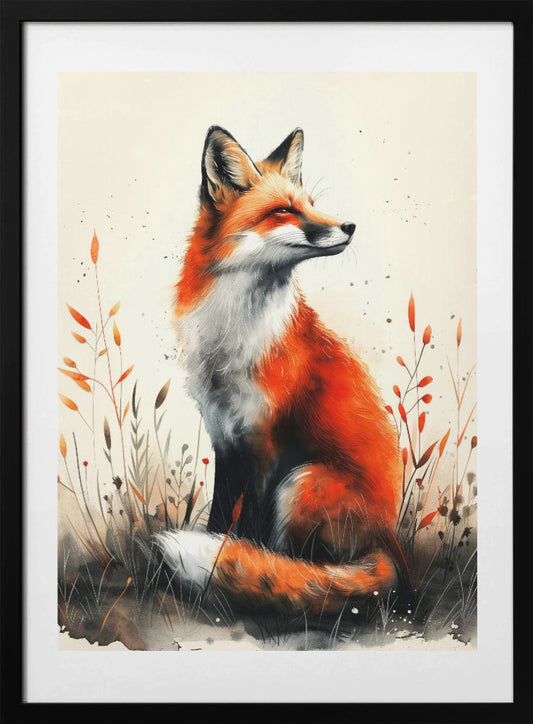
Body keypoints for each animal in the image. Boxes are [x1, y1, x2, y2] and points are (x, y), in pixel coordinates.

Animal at [156, 126, 404, 616]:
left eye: (311, 203)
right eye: (285, 210)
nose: (349, 226)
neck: (233, 338)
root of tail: (389, 544)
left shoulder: (265, 443)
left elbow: (249, 529)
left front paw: (230, 569)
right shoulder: (225, 434)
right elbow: (221, 515)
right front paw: (217, 558)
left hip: (302, 481)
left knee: (312, 564)